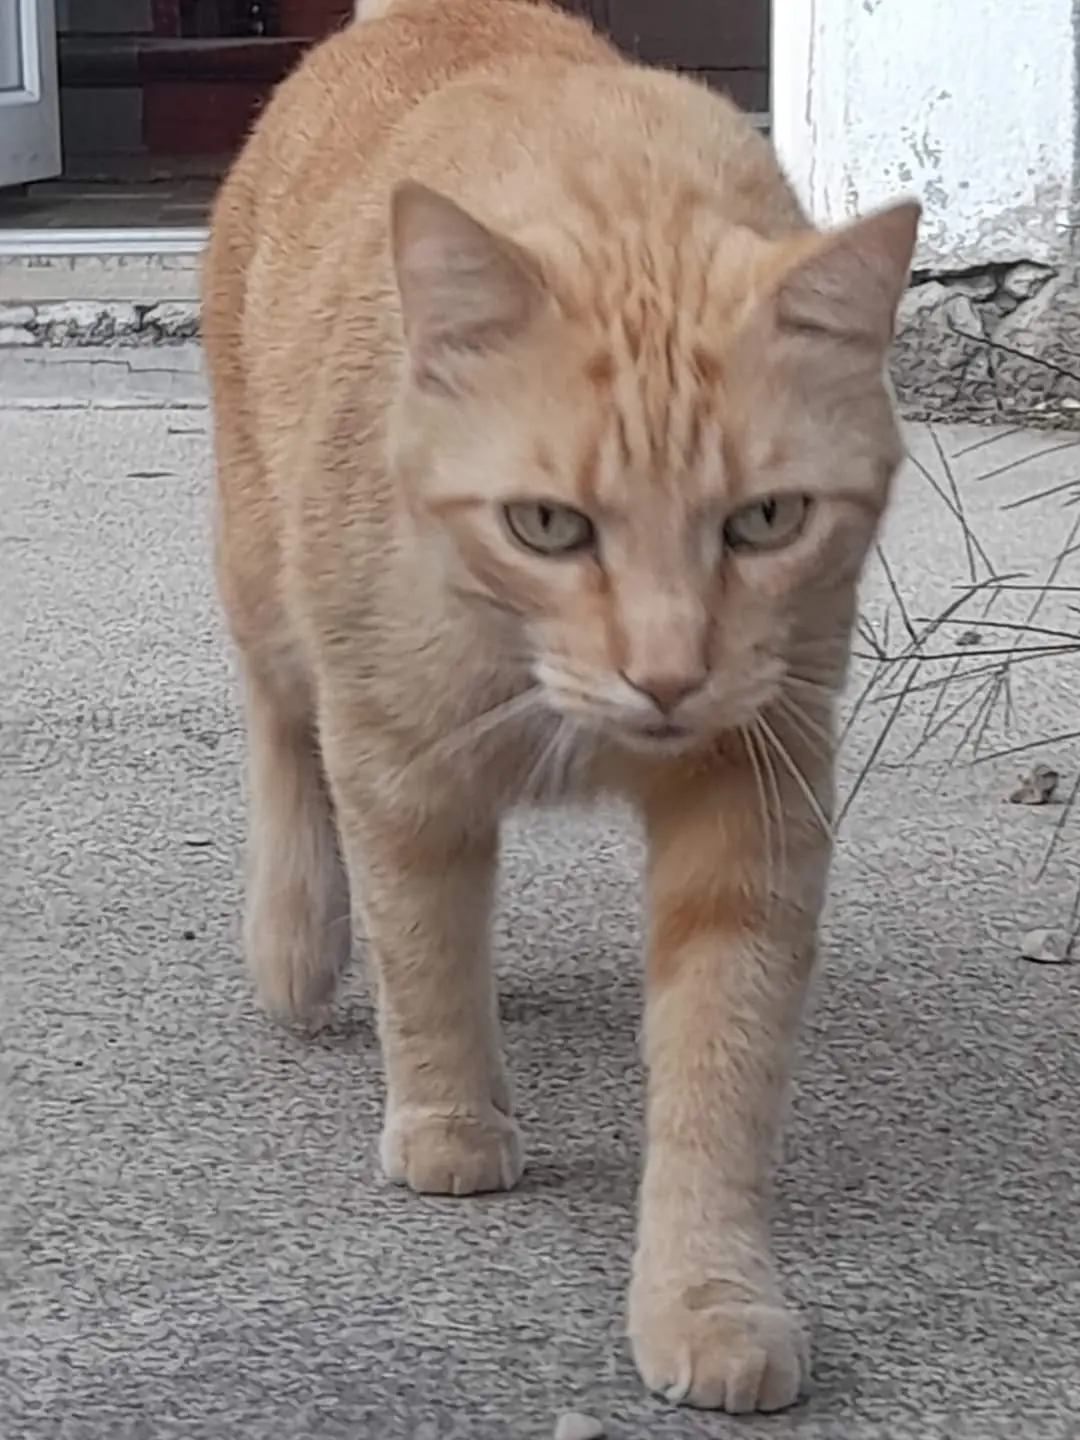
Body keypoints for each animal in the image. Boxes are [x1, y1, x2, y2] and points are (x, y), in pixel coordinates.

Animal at [204, 0, 921, 1416]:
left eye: (765, 521)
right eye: (549, 525)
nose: (667, 673)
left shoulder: (755, 788)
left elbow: (718, 1062)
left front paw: (707, 1291)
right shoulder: (398, 760)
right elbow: (423, 951)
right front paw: (449, 1118)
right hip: (266, 576)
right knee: (279, 729)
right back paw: (301, 933)